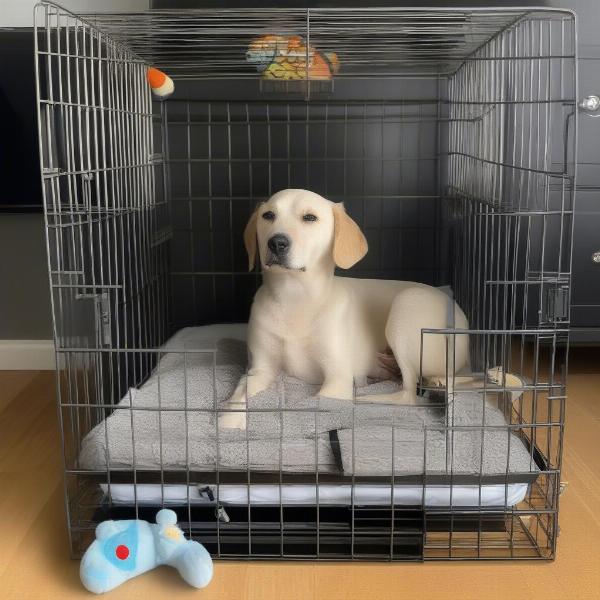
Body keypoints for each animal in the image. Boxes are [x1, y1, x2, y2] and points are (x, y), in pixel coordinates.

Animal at [220, 190, 468, 428]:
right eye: (268, 215)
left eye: (310, 217)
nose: (276, 242)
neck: (294, 297)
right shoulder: (259, 370)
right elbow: (238, 399)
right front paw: (229, 423)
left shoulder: (337, 378)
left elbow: (311, 406)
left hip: (406, 304)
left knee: (409, 393)